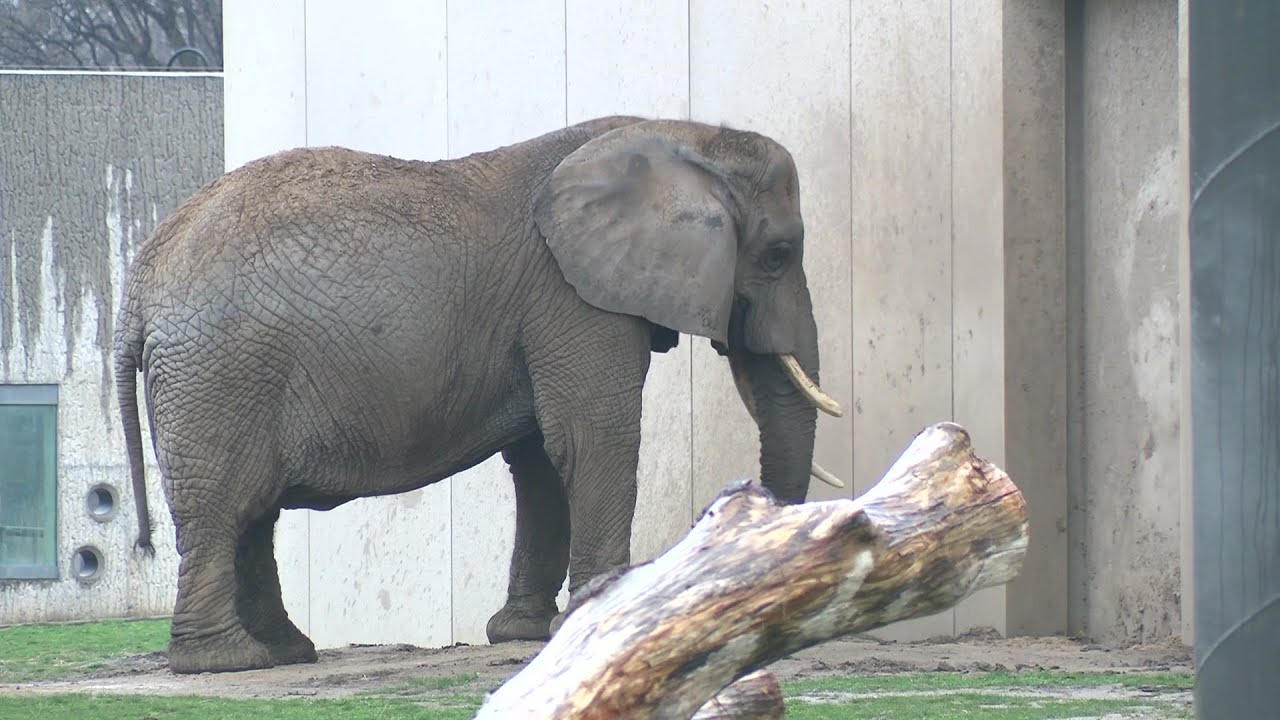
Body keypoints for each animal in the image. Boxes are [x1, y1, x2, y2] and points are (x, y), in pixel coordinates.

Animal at [114, 115, 845, 675]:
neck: (680, 133)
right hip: (221, 372)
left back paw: (286, 653)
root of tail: (140, 283)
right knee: (225, 509)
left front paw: (522, 633)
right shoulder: (571, 298)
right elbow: (590, 439)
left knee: (252, 513)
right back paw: (229, 664)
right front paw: (604, 617)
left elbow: (543, 459)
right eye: (779, 253)